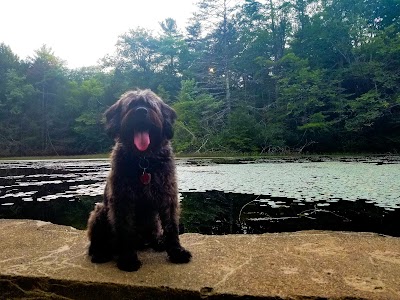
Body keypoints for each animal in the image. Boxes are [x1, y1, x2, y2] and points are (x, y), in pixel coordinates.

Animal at [87, 89, 192, 272]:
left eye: (150, 105)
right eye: (131, 105)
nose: (141, 111)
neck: (144, 160)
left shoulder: (168, 197)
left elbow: (171, 227)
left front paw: (176, 252)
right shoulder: (123, 200)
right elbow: (126, 230)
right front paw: (128, 259)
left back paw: (158, 243)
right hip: (99, 212)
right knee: (96, 244)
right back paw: (101, 253)